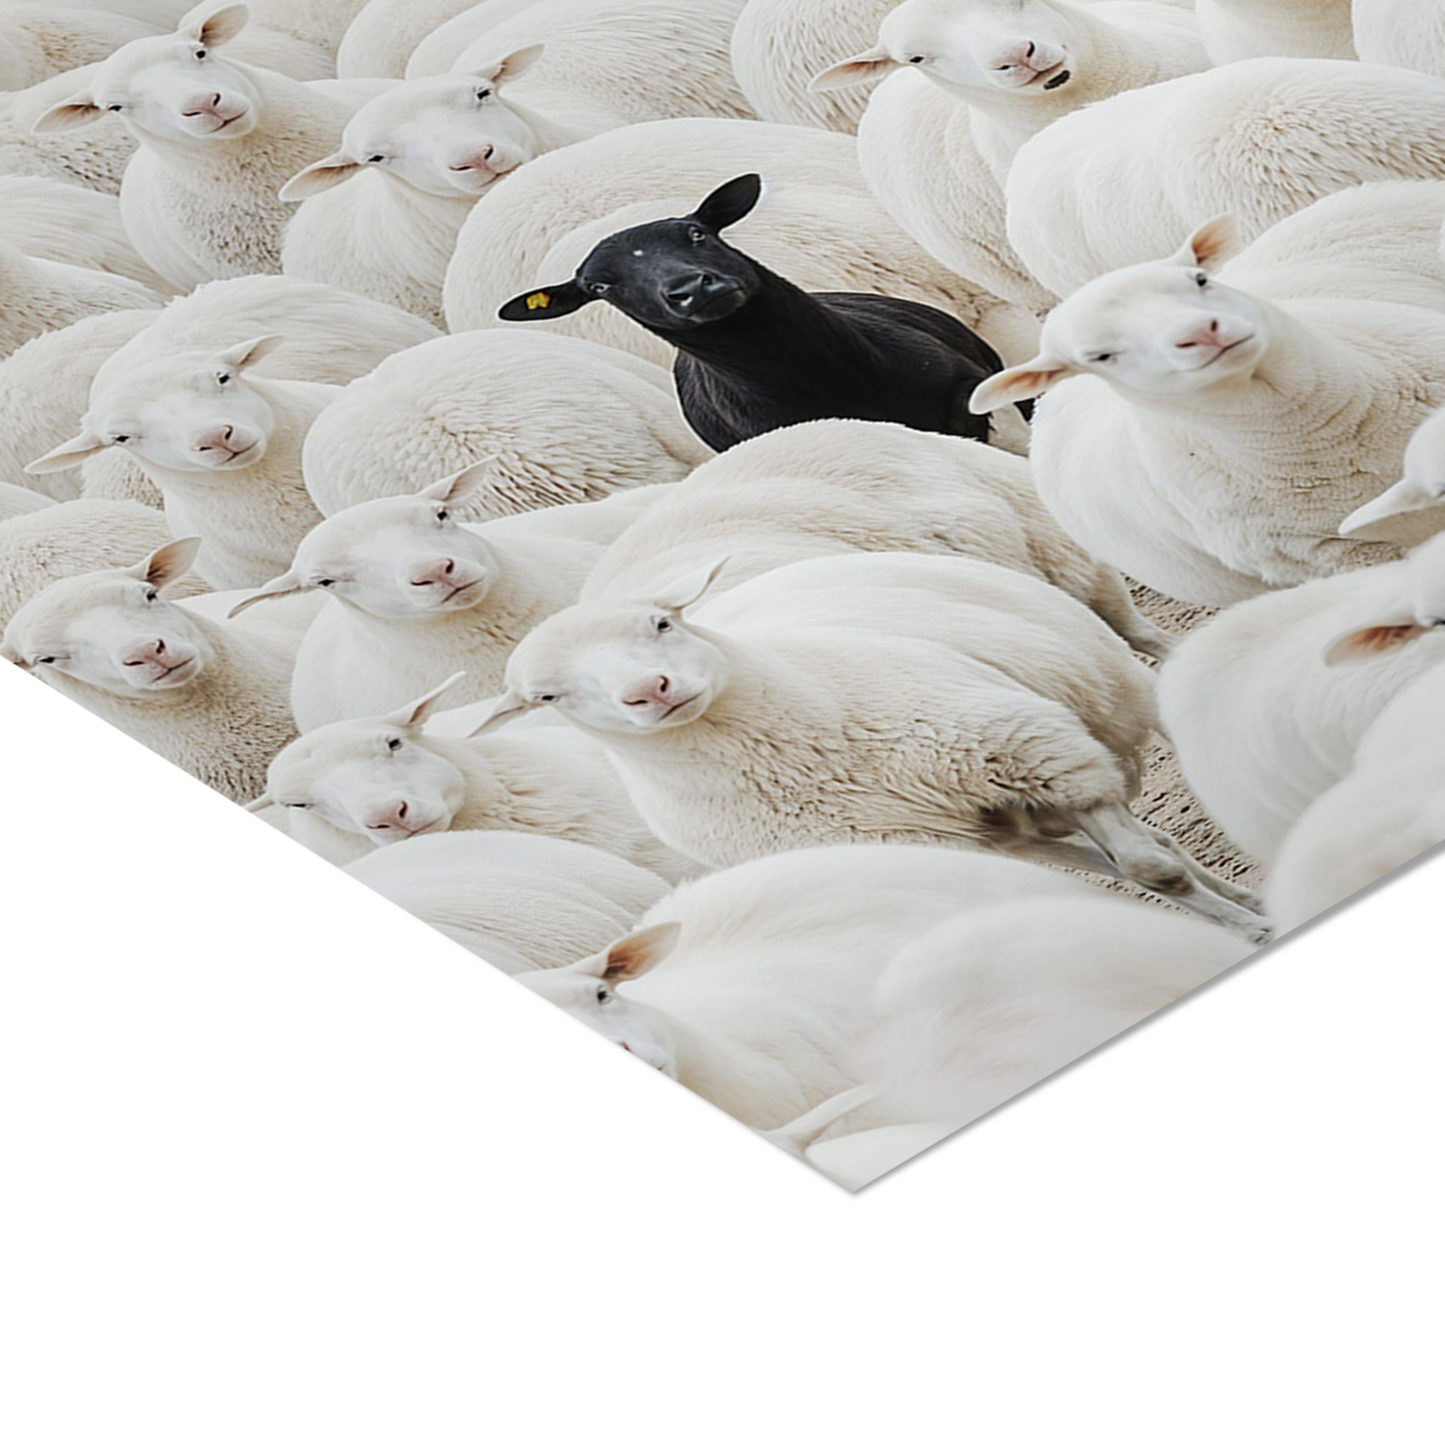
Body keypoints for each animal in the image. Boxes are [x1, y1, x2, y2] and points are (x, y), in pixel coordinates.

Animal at [474, 551, 1268, 937]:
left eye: (661, 623)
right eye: (545, 697)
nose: (651, 690)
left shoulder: (1035, 752)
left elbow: (1151, 869)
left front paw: (1252, 924)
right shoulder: (954, 833)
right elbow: (1148, 870)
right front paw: (1245, 921)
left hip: (1105, 681)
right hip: (1010, 832)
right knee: (1128, 848)